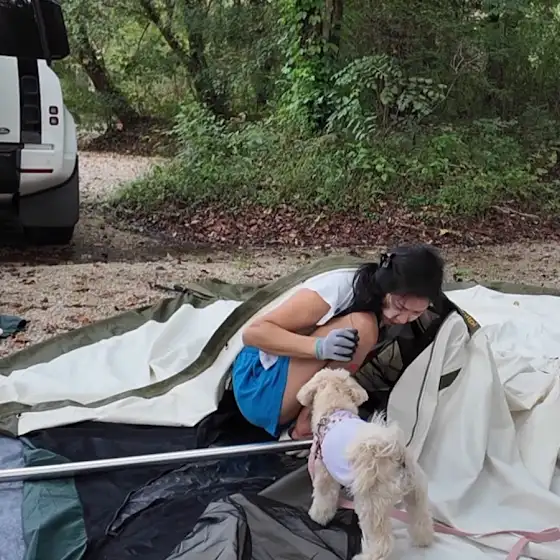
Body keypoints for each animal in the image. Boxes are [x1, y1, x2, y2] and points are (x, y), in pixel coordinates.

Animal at [297, 367, 434, 560]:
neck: (335, 408)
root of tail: (394, 452)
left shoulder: (324, 473)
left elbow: (324, 498)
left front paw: (318, 516)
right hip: (416, 491)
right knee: (421, 518)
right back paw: (423, 540)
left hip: (371, 504)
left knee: (382, 542)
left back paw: (366, 556)